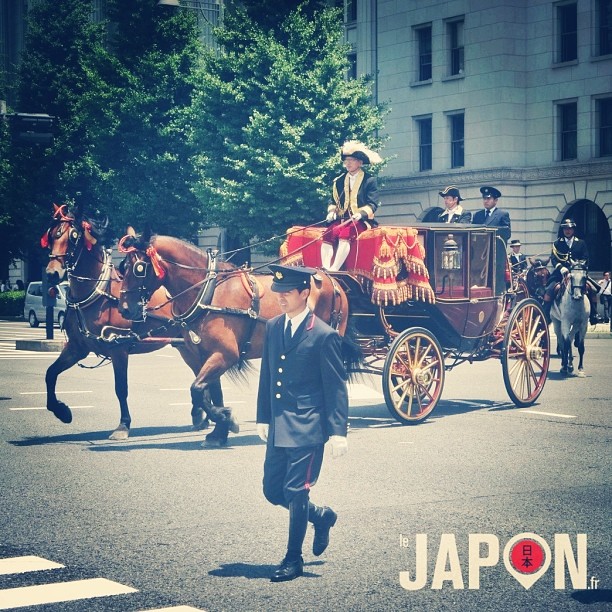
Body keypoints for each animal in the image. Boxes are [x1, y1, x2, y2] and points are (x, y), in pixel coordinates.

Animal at [42, 206, 218, 440]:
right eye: (52, 235)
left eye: (73, 236)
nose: (52, 273)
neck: (97, 293)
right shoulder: (77, 348)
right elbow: (50, 374)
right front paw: (61, 411)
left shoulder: (119, 349)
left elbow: (121, 388)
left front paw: (123, 425)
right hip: (185, 347)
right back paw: (201, 416)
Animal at [116, 230, 352, 444]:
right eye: (122, 267)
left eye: (139, 268)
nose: (124, 309)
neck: (208, 292)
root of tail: (330, 278)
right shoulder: (206, 356)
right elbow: (210, 392)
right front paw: (219, 431)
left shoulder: (225, 354)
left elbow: (197, 389)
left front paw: (226, 418)